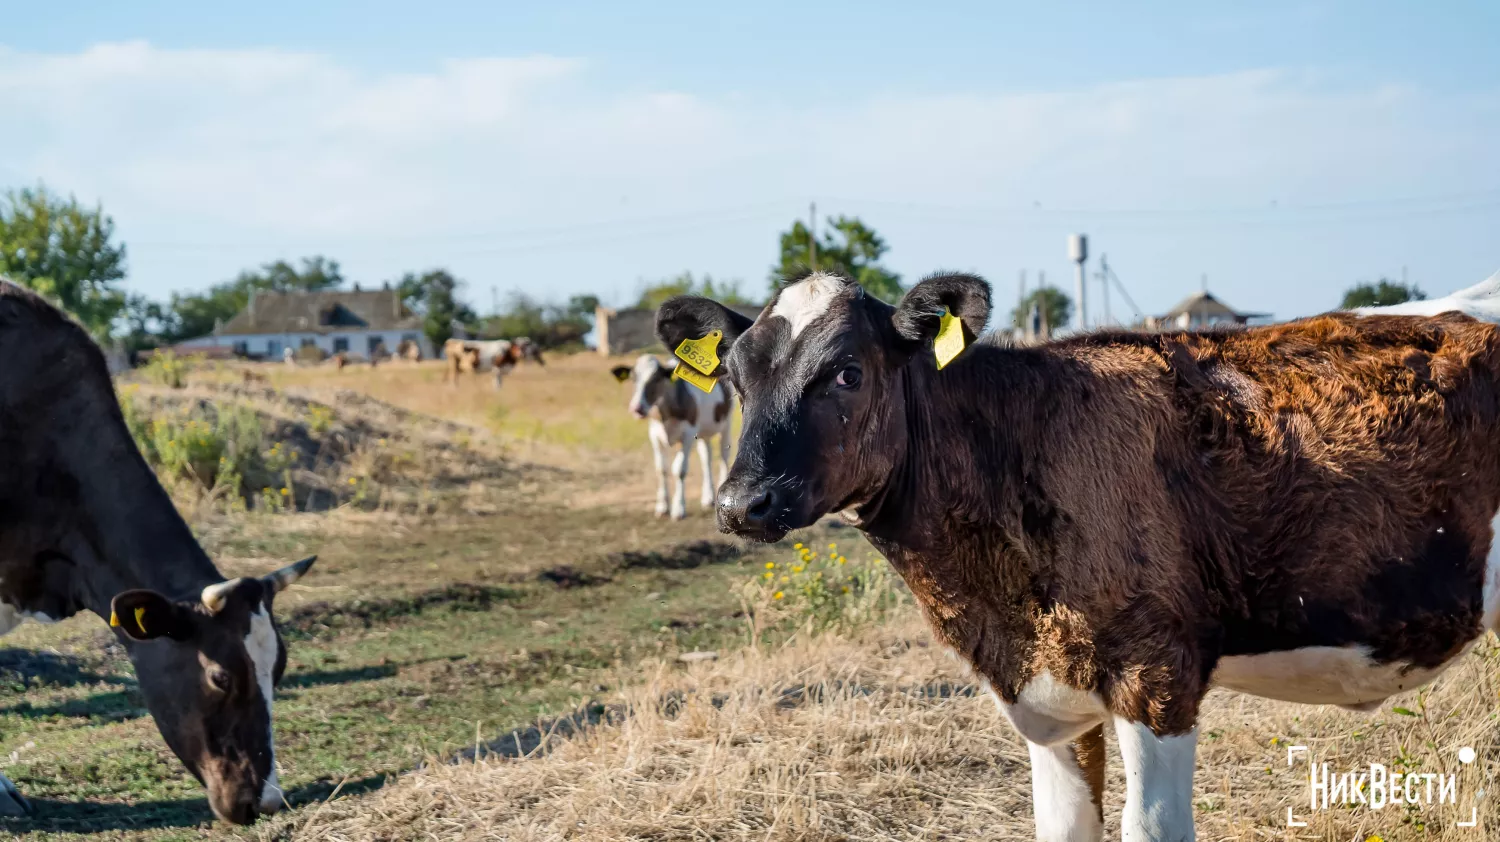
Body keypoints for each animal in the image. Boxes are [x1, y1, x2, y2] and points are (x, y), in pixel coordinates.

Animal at [612, 352, 735, 519]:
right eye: (634, 378)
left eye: (656, 378)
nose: (637, 408)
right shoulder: (655, 435)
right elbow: (661, 469)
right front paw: (662, 506)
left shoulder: (688, 434)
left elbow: (679, 470)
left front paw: (679, 508)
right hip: (704, 430)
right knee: (706, 457)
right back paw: (707, 498)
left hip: (726, 423)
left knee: (723, 455)